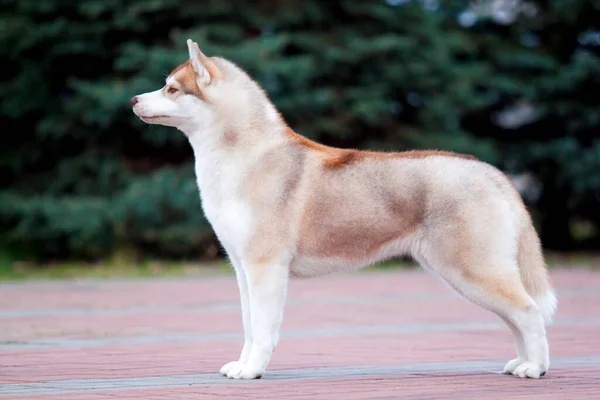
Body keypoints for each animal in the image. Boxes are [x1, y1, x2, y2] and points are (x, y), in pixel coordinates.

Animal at [132, 39, 556, 380]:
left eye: (171, 88)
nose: (134, 100)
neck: (243, 158)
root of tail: (493, 172)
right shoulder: (242, 268)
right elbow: (250, 326)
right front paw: (243, 364)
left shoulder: (266, 267)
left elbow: (264, 329)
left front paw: (252, 371)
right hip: (471, 272)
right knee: (516, 317)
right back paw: (521, 363)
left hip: (472, 269)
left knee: (529, 311)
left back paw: (535, 368)